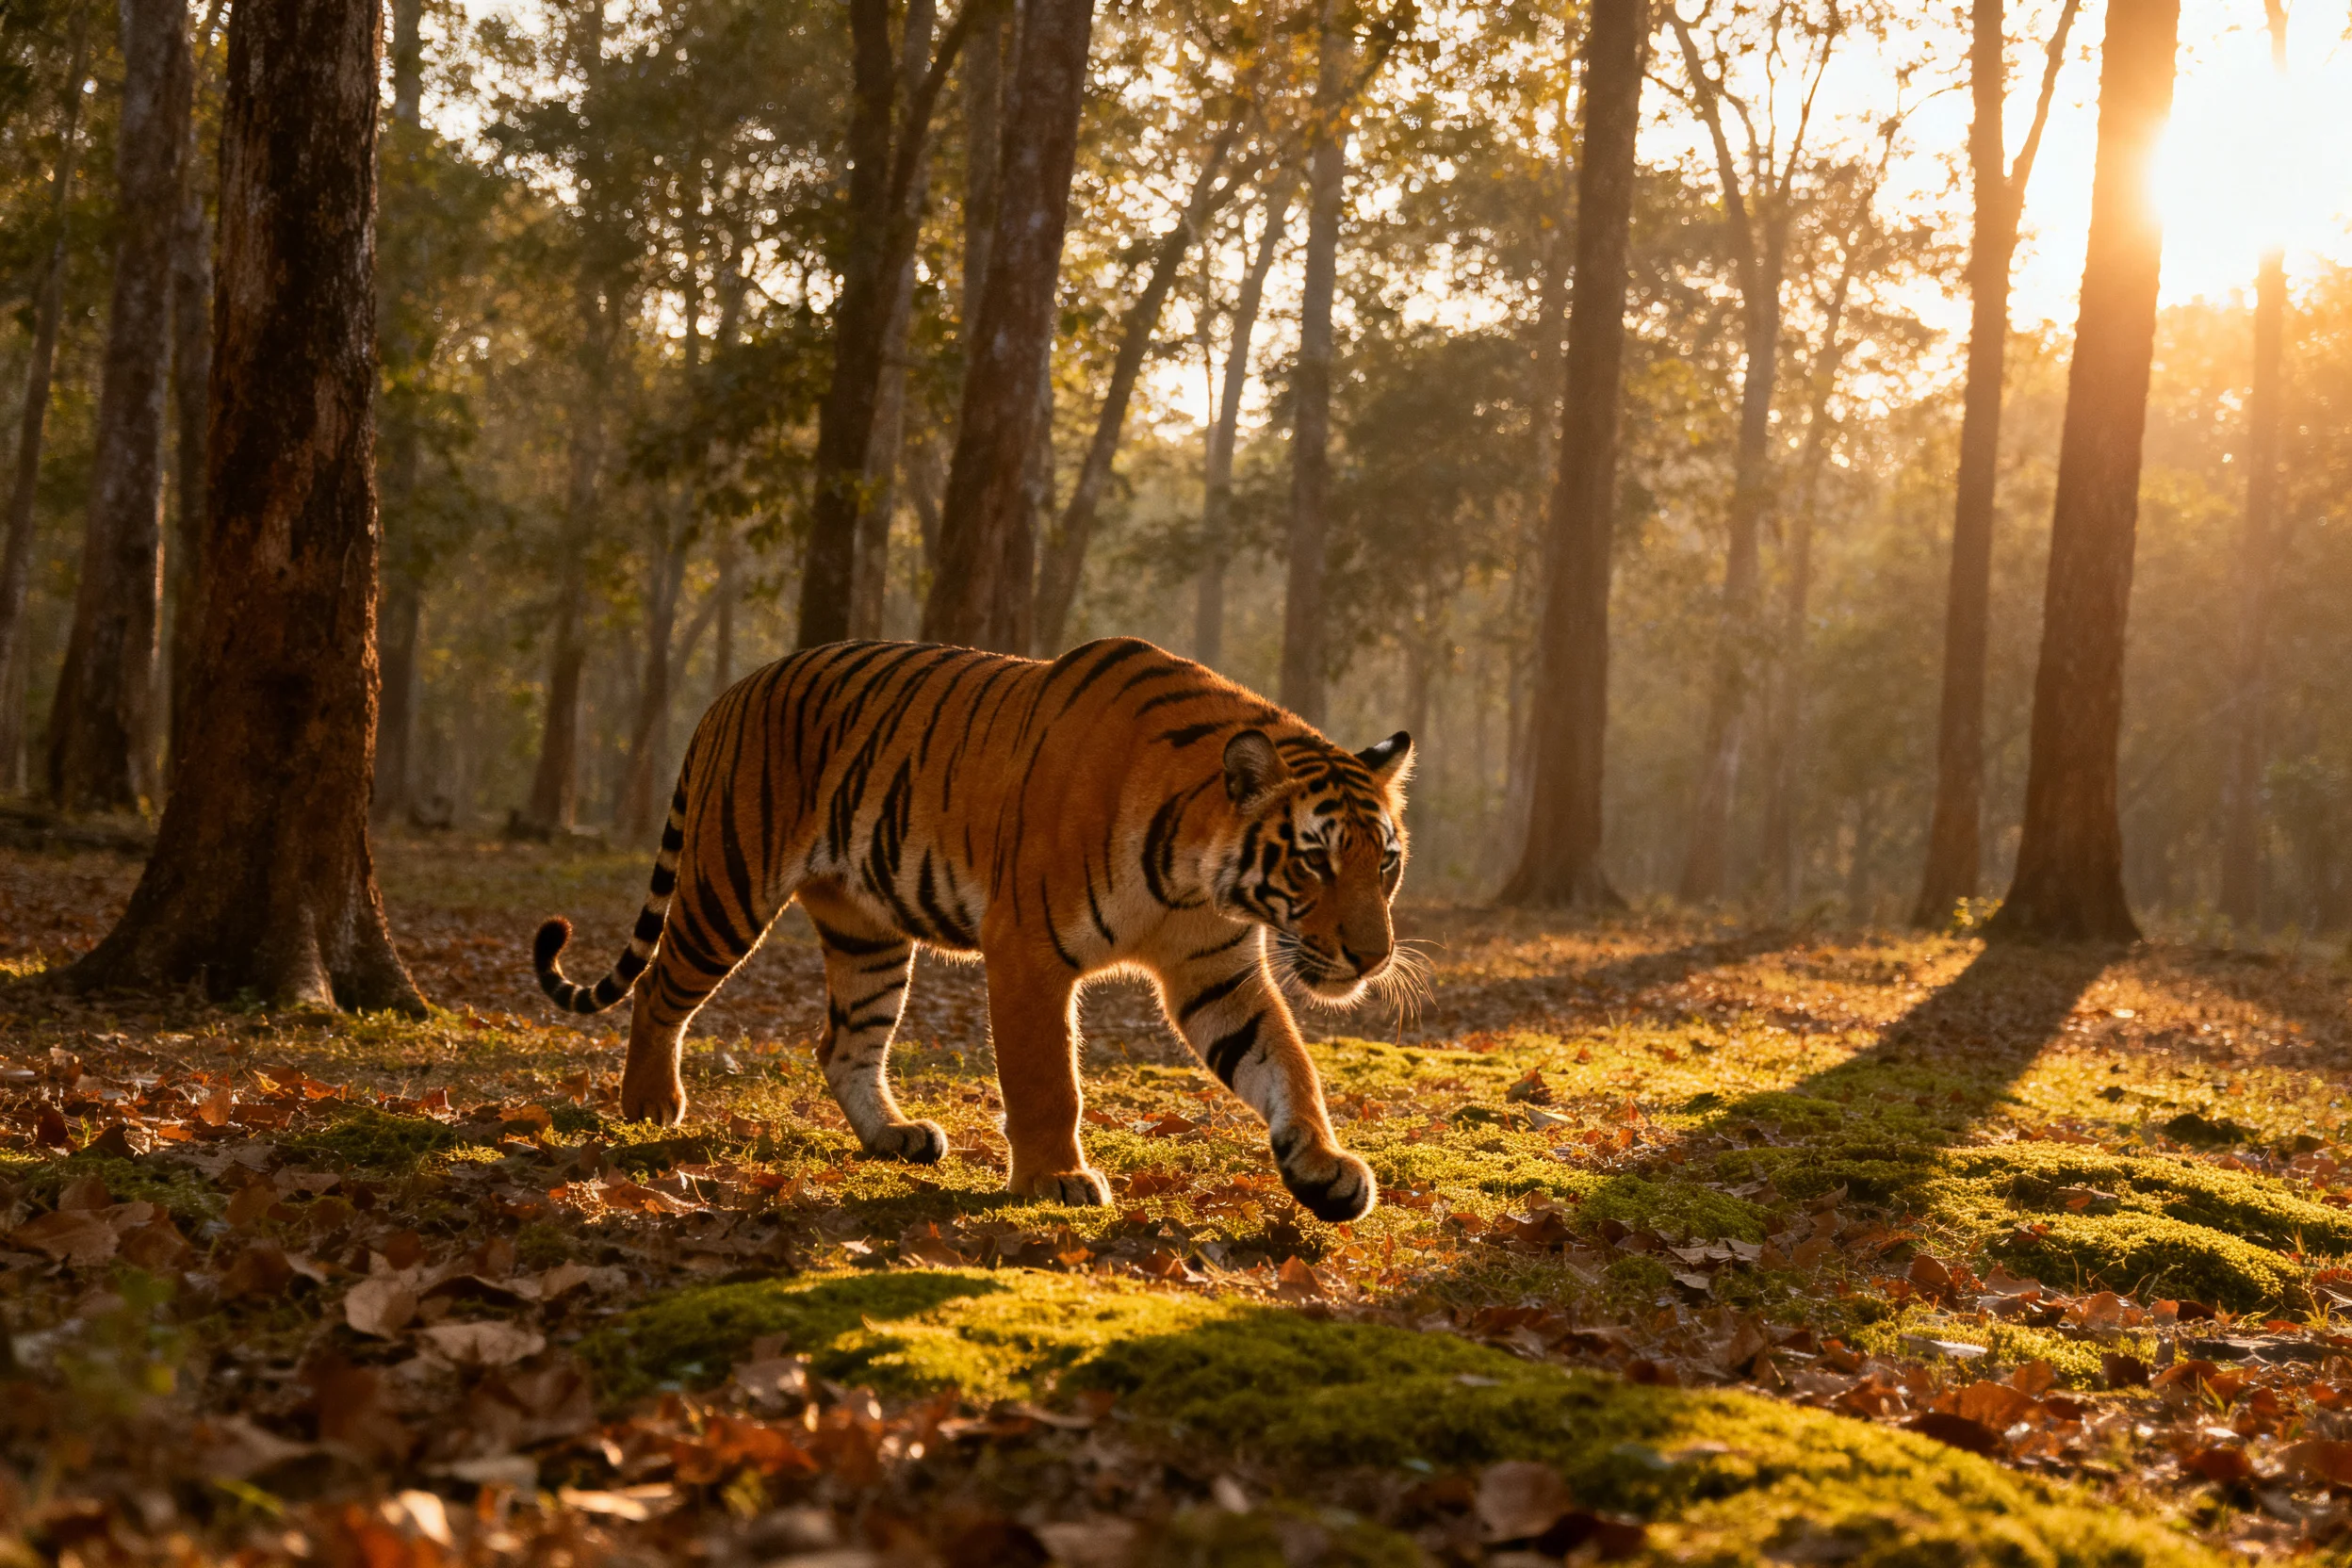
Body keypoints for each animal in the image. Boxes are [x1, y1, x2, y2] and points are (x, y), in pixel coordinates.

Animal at [530, 637, 1412, 1222]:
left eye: (1386, 863)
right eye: (1315, 860)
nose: (1373, 958)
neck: (1199, 876)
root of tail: (732, 690)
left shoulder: (1217, 972)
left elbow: (1288, 1066)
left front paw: (1324, 1169)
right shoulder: (1028, 949)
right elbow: (1047, 1079)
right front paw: (1056, 1179)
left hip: (867, 932)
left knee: (842, 1042)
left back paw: (894, 1136)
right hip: (729, 886)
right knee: (657, 987)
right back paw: (650, 1103)